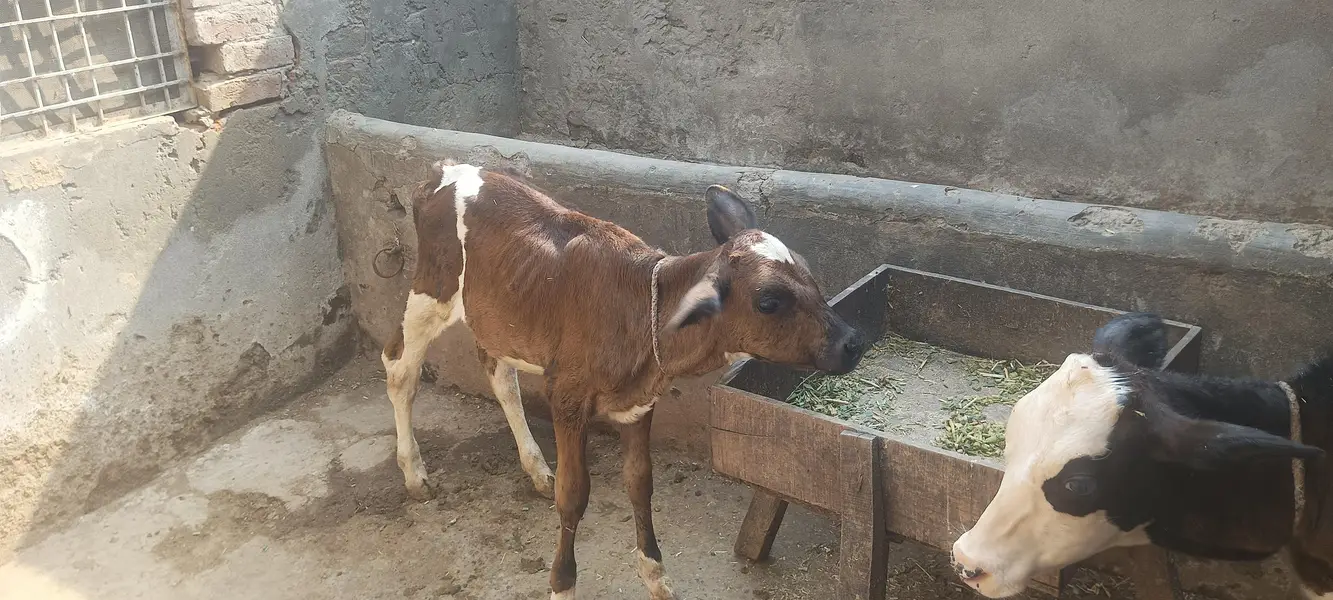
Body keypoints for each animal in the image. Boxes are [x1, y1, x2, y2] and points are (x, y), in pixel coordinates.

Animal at [380, 161, 867, 599]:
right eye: (768, 301)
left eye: (808, 272)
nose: (852, 341)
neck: (640, 309)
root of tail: (443, 170)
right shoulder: (567, 398)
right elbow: (574, 496)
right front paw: (562, 584)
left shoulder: (638, 404)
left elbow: (639, 484)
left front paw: (656, 577)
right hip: (430, 291)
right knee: (400, 368)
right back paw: (415, 473)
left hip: (497, 317)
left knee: (501, 378)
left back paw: (536, 469)